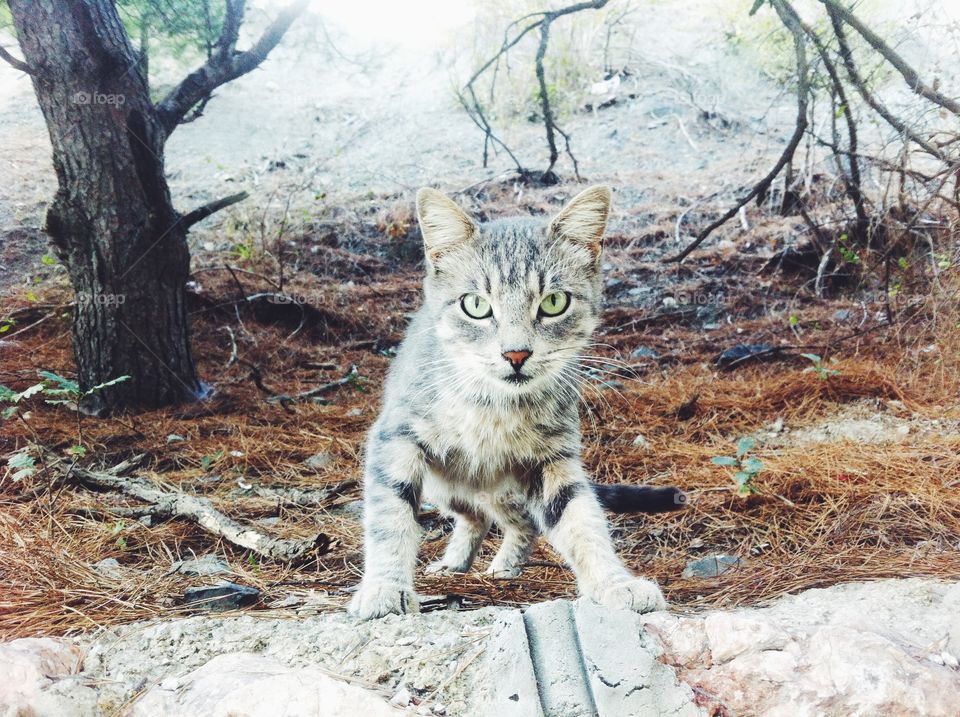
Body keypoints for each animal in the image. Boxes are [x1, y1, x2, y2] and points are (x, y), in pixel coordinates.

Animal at [348, 187, 688, 620]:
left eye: (554, 302)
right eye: (475, 305)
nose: (516, 354)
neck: (495, 407)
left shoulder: (553, 458)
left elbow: (581, 518)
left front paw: (614, 583)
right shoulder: (396, 438)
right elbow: (390, 515)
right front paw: (385, 587)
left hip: (498, 488)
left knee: (518, 522)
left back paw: (505, 564)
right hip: (445, 485)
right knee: (476, 516)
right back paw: (456, 562)